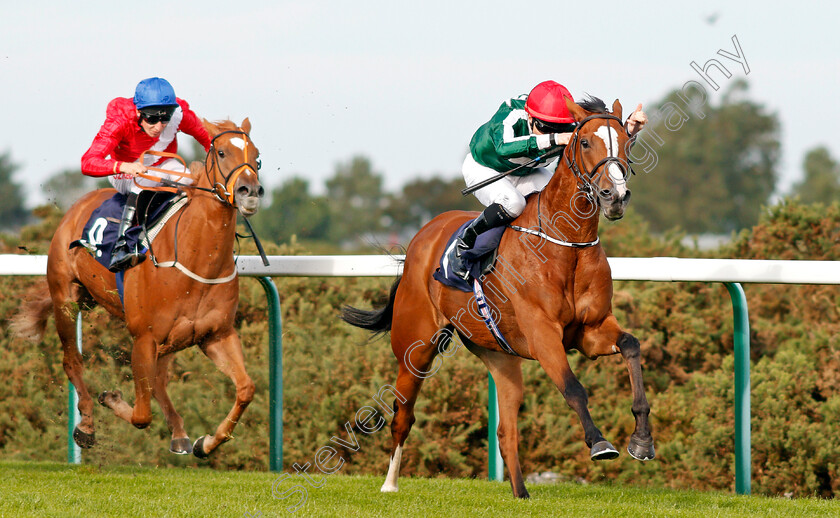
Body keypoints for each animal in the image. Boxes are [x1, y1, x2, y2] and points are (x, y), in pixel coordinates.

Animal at [12, 119, 262, 460]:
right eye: (222, 152)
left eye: (257, 156)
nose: (250, 192)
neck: (197, 260)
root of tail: (78, 206)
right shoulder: (144, 338)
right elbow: (142, 415)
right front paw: (111, 399)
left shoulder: (217, 334)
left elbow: (246, 388)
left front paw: (207, 442)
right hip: (65, 296)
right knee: (72, 360)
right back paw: (87, 424)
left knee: (158, 382)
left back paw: (179, 433)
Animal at [342, 97, 656, 500]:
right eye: (585, 142)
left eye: (626, 142)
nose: (614, 196)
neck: (565, 242)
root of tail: (422, 236)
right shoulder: (542, 334)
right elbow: (573, 387)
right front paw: (600, 443)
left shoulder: (592, 329)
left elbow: (631, 346)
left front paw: (642, 441)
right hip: (416, 346)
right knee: (403, 416)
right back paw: (390, 484)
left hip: (500, 357)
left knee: (506, 432)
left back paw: (521, 494)